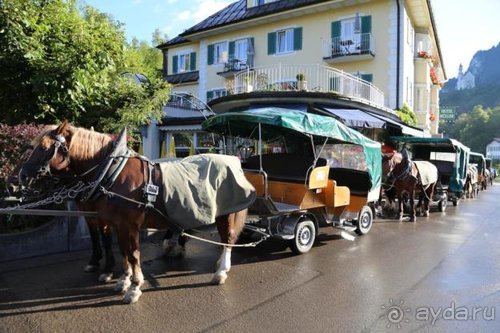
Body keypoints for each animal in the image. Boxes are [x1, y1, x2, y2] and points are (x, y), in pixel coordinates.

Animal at [19, 122, 254, 304]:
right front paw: (123, 280)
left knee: (227, 239)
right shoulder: (115, 223)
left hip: (226, 214)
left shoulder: (128, 225)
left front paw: (134, 287)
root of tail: (234, 160)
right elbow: (123, 251)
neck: (113, 172)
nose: (21, 177)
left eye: (45, 148)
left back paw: (221, 271)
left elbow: (132, 254)